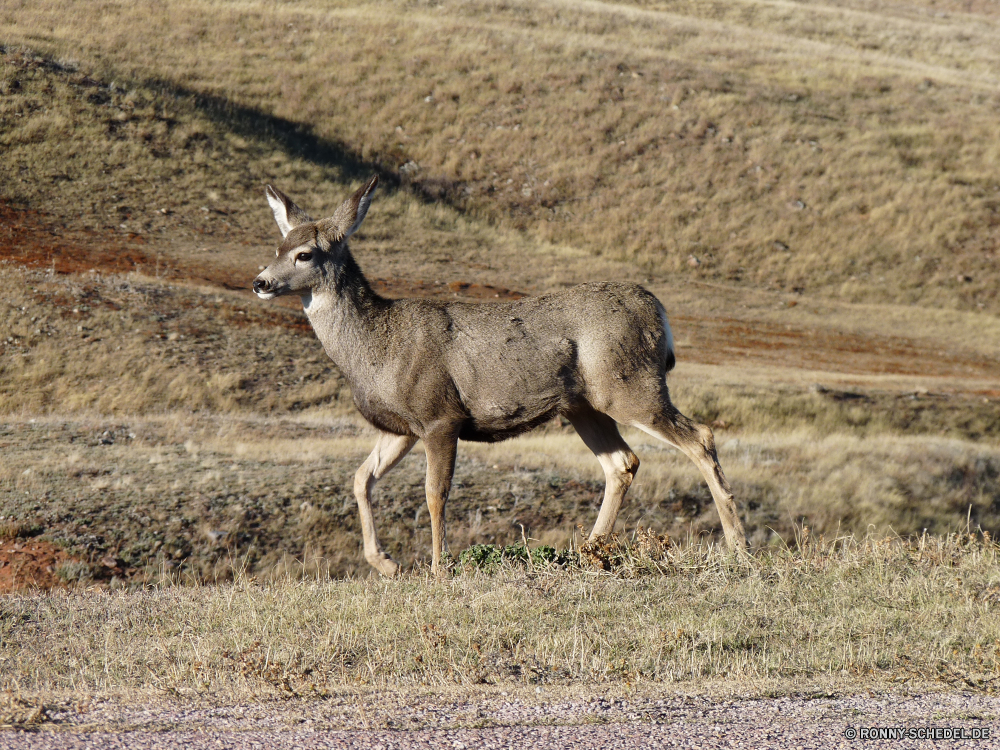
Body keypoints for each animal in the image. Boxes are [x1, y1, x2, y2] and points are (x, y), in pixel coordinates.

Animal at [254, 176, 748, 576]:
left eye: (304, 254)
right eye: (276, 248)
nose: (260, 282)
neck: (378, 344)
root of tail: (658, 310)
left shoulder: (440, 415)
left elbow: (435, 493)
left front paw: (438, 569)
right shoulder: (402, 428)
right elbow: (361, 479)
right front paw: (387, 563)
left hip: (629, 386)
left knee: (700, 437)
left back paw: (738, 549)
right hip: (584, 405)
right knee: (622, 463)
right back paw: (588, 552)